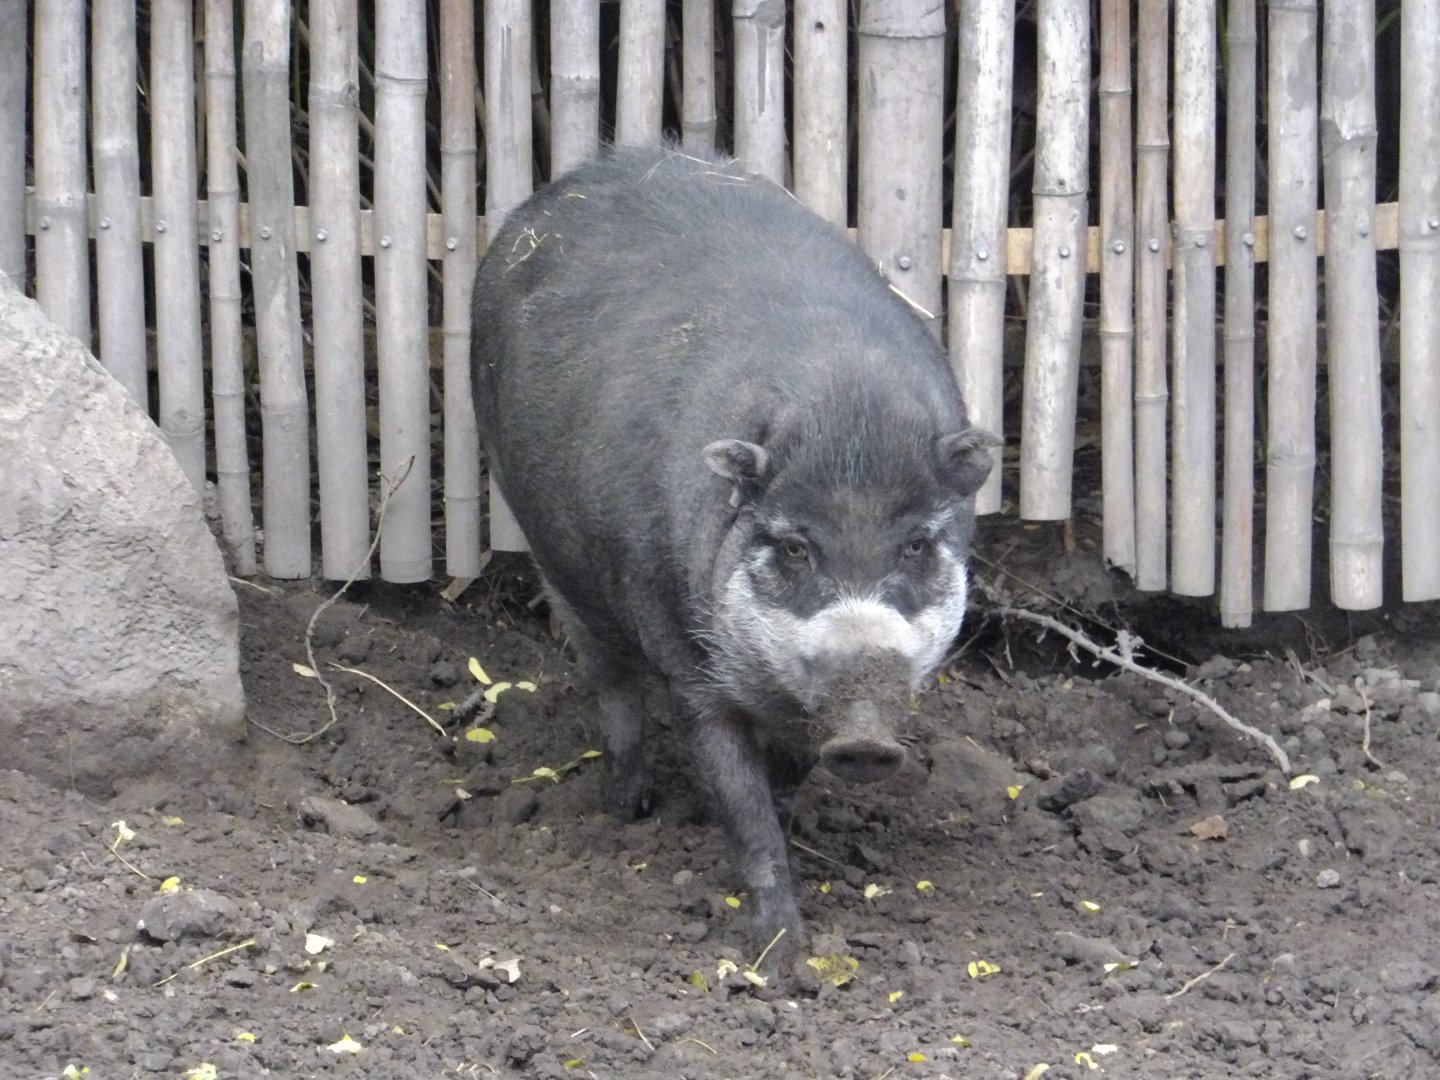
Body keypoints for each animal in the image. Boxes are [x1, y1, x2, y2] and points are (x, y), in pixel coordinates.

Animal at [472, 145, 997, 958]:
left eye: (915, 543)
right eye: (795, 546)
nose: (866, 741)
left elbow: (784, 774)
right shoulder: (689, 659)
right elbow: (738, 795)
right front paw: (782, 956)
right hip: (555, 560)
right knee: (612, 683)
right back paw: (624, 808)